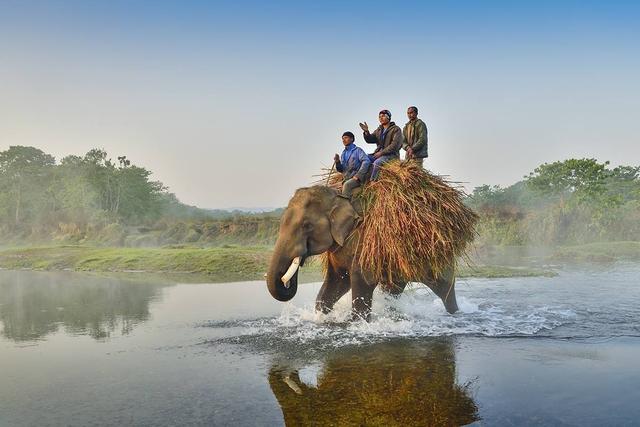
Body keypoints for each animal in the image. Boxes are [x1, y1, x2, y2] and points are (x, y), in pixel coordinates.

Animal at [266, 186, 460, 322]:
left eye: (307, 225)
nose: (286, 281)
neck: (339, 197)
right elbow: (336, 283)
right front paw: (321, 319)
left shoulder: (365, 241)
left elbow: (362, 281)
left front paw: (359, 323)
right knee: (393, 289)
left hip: (440, 256)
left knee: (444, 288)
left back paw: (455, 314)